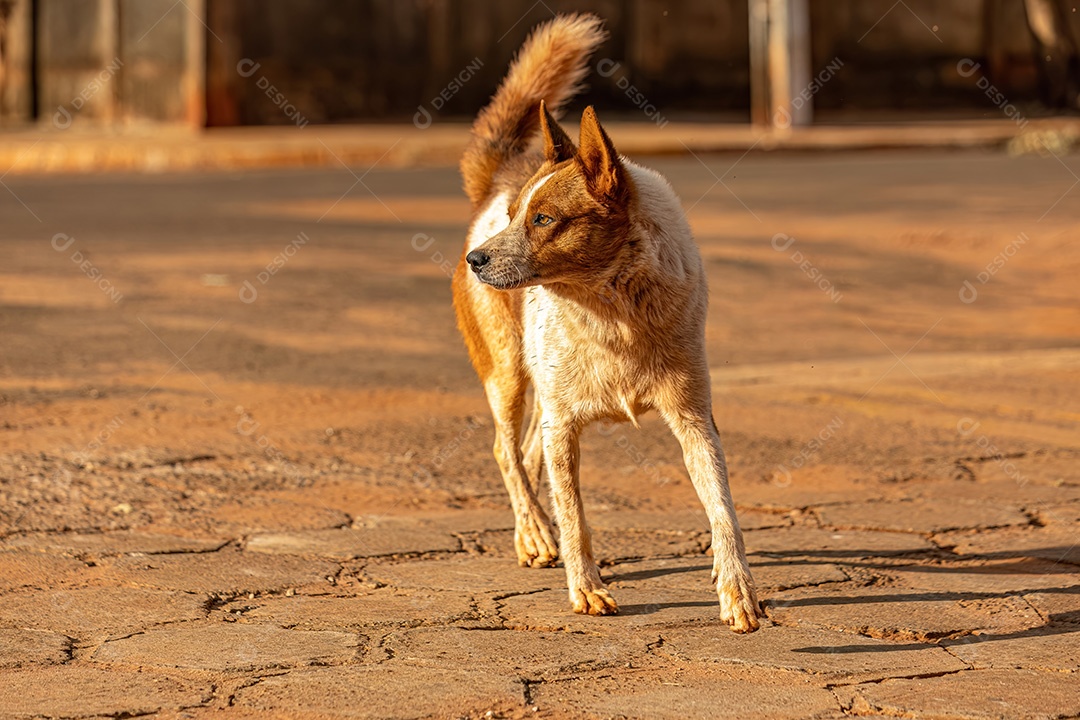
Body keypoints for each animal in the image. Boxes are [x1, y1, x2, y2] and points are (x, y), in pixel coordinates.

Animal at [451, 11, 764, 630]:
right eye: (515, 215)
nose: (476, 261)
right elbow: (575, 516)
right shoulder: (565, 425)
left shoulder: (694, 417)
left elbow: (723, 509)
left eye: (544, 219)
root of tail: (497, 178)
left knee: (526, 453)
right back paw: (533, 534)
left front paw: (736, 589)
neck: (611, 312)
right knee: (506, 451)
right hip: (508, 374)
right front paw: (587, 588)